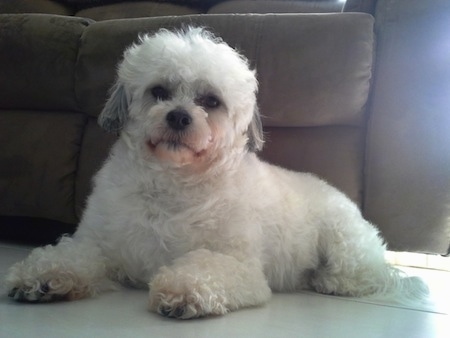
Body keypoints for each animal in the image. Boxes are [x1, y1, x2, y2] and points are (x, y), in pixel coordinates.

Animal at [5, 27, 428, 318]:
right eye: (159, 91)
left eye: (211, 101)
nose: (179, 116)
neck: (172, 187)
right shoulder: (101, 244)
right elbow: (71, 255)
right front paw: (42, 277)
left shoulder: (238, 264)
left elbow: (204, 269)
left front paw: (184, 291)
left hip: (343, 245)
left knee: (360, 277)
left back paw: (327, 281)